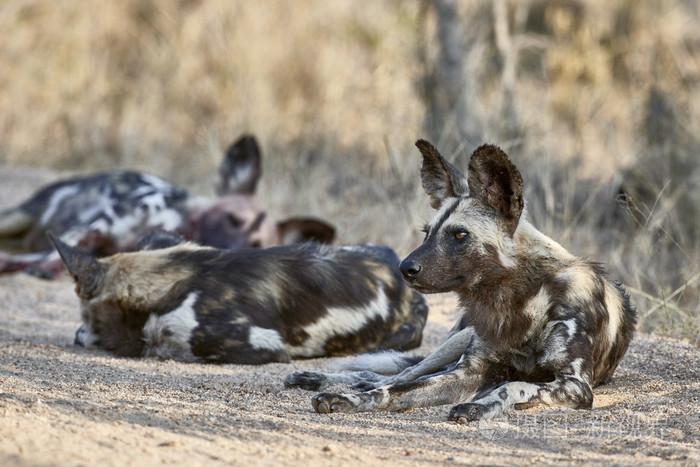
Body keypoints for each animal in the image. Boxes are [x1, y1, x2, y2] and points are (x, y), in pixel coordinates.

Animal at [0, 135, 334, 278]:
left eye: (257, 245)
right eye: (231, 219)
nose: (229, 251)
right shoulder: (98, 227)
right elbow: (63, 250)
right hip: (18, 215)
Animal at [286, 139, 640, 424]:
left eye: (459, 235)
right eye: (426, 233)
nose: (404, 268)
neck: (520, 300)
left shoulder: (575, 385)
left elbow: (514, 384)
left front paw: (478, 406)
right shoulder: (466, 371)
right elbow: (395, 390)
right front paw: (348, 399)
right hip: (453, 344)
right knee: (396, 373)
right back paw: (328, 380)